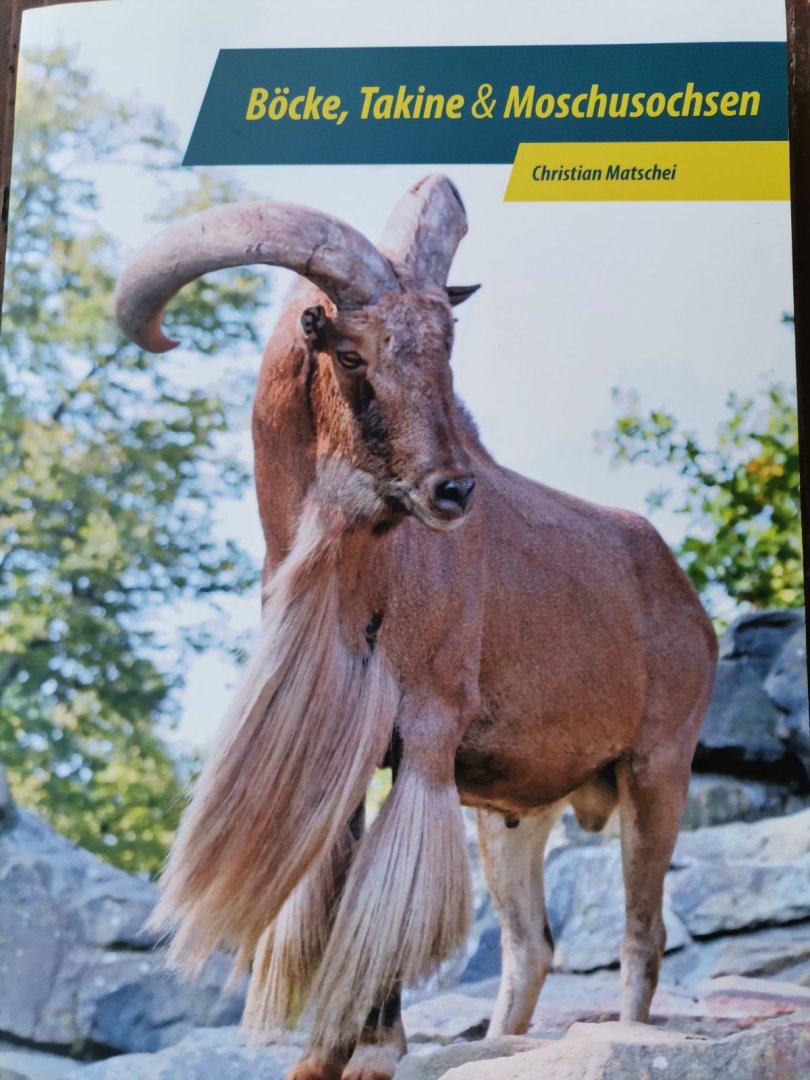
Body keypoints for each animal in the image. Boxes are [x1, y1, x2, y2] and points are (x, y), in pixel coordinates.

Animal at [114, 175, 718, 1080]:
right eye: (352, 353)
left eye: (446, 347)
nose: (452, 490)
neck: (359, 572)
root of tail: (690, 604)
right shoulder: (352, 757)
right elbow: (338, 899)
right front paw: (324, 1057)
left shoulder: (427, 735)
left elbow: (384, 908)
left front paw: (371, 1050)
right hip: (514, 812)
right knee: (530, 946)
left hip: (658, 769)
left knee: (640, 940)